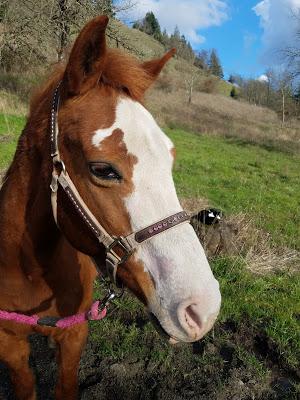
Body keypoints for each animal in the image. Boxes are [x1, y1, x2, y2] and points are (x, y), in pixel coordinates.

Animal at [0, 16, 220, 400]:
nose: (202, 309)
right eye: (103, 169)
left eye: (170, 159)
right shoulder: (10, 345)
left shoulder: (73, 335)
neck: (29, 269)